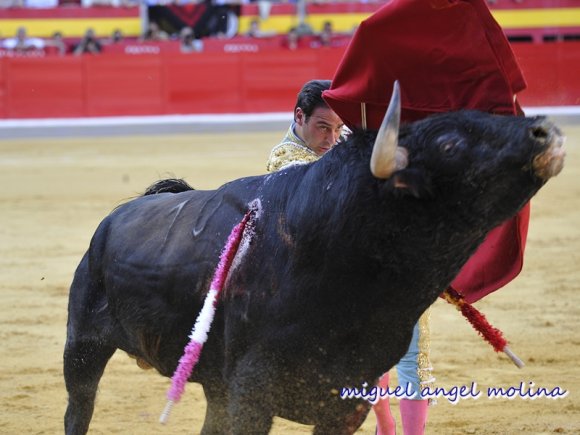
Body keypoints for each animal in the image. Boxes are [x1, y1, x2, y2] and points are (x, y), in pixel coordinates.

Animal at [64, 110, 568, 434]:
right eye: (449, 143)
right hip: (83, 345)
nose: (547, 131)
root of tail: (113, 219)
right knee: (79, 409)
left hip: (215, 384)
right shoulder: (252, 393)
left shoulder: (345, 402)